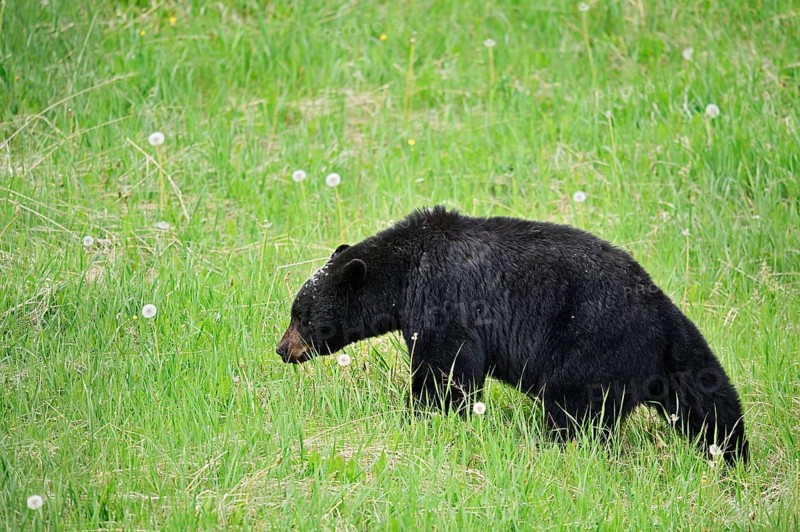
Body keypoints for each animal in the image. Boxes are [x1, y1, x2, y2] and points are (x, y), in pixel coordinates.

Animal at [277, 207, 749, 464]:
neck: (407, 268)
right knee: (709, 401)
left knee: (574, 409)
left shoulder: (445, 298)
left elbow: (445, 368)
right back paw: (731, 455)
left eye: (301, 316)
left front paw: (423, 415)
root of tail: (661, 313)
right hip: (675, 358)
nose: (282, 349)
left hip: (593, 344)